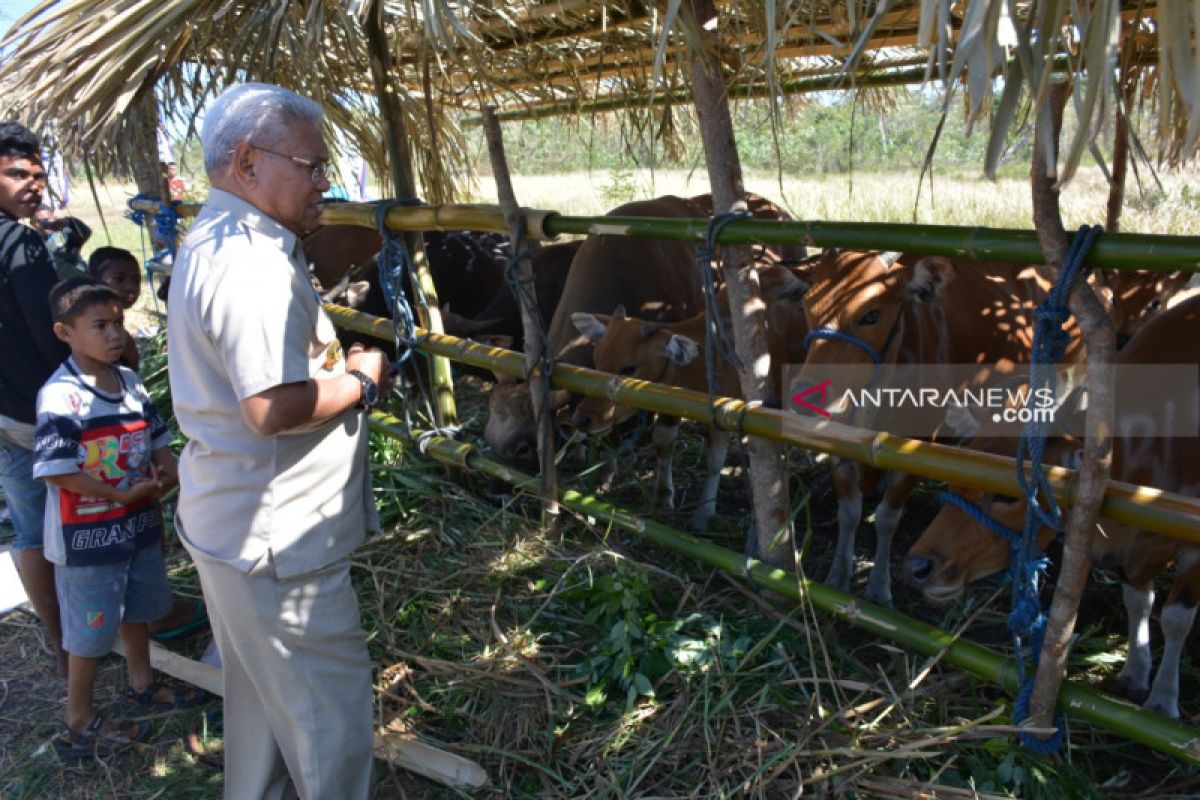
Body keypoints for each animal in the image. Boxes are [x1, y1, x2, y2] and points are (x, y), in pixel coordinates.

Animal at [566, 261, 811, 532]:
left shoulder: (727, 412)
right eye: (597, 359)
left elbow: (715, 462)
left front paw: (702, 516)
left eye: (629, 368)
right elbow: (664, 443)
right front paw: (664, 499)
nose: (582, 419)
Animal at [792, 250, 1084, 606]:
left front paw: (878, 589)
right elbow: (848, 512)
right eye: (806, 307)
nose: (805, 393)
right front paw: (837, 578)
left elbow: (887, 519)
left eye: (871, 314)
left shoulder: (915, 448)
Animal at [902, 293, 1200, 719]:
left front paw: (1162, 698)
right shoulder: (1133, 551)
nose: (918, 567)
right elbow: (1139, 601)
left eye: (1009, 495)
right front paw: (1135, 673)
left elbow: (1175, 619)